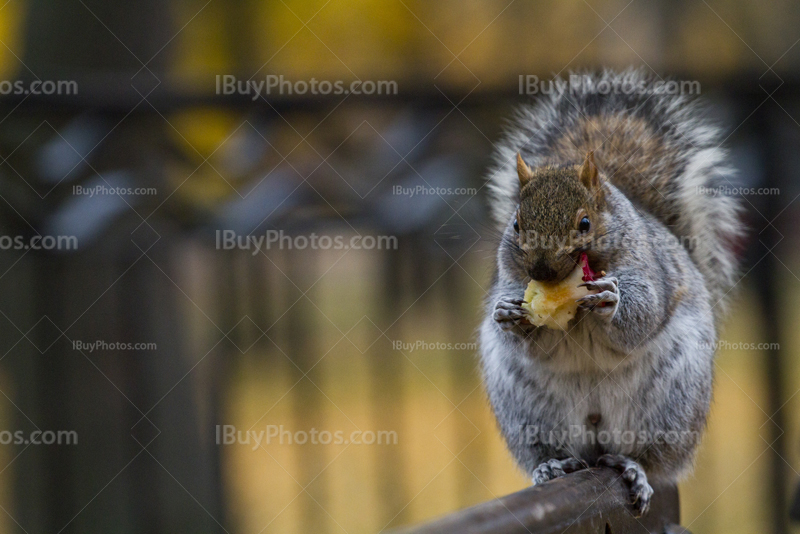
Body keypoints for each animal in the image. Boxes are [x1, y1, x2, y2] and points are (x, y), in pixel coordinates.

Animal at [476, 69, 744, 516]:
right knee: (554, 449)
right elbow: (535, 342)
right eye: (515, 224)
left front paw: (611, 300)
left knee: (649, 457)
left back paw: (634, 468)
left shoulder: (649, 270)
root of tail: (596, 432)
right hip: (527, 409)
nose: (541, 270)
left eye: (585, 223)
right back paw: (552, 465)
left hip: (669, 404)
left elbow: (643, 314)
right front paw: (509, 313)